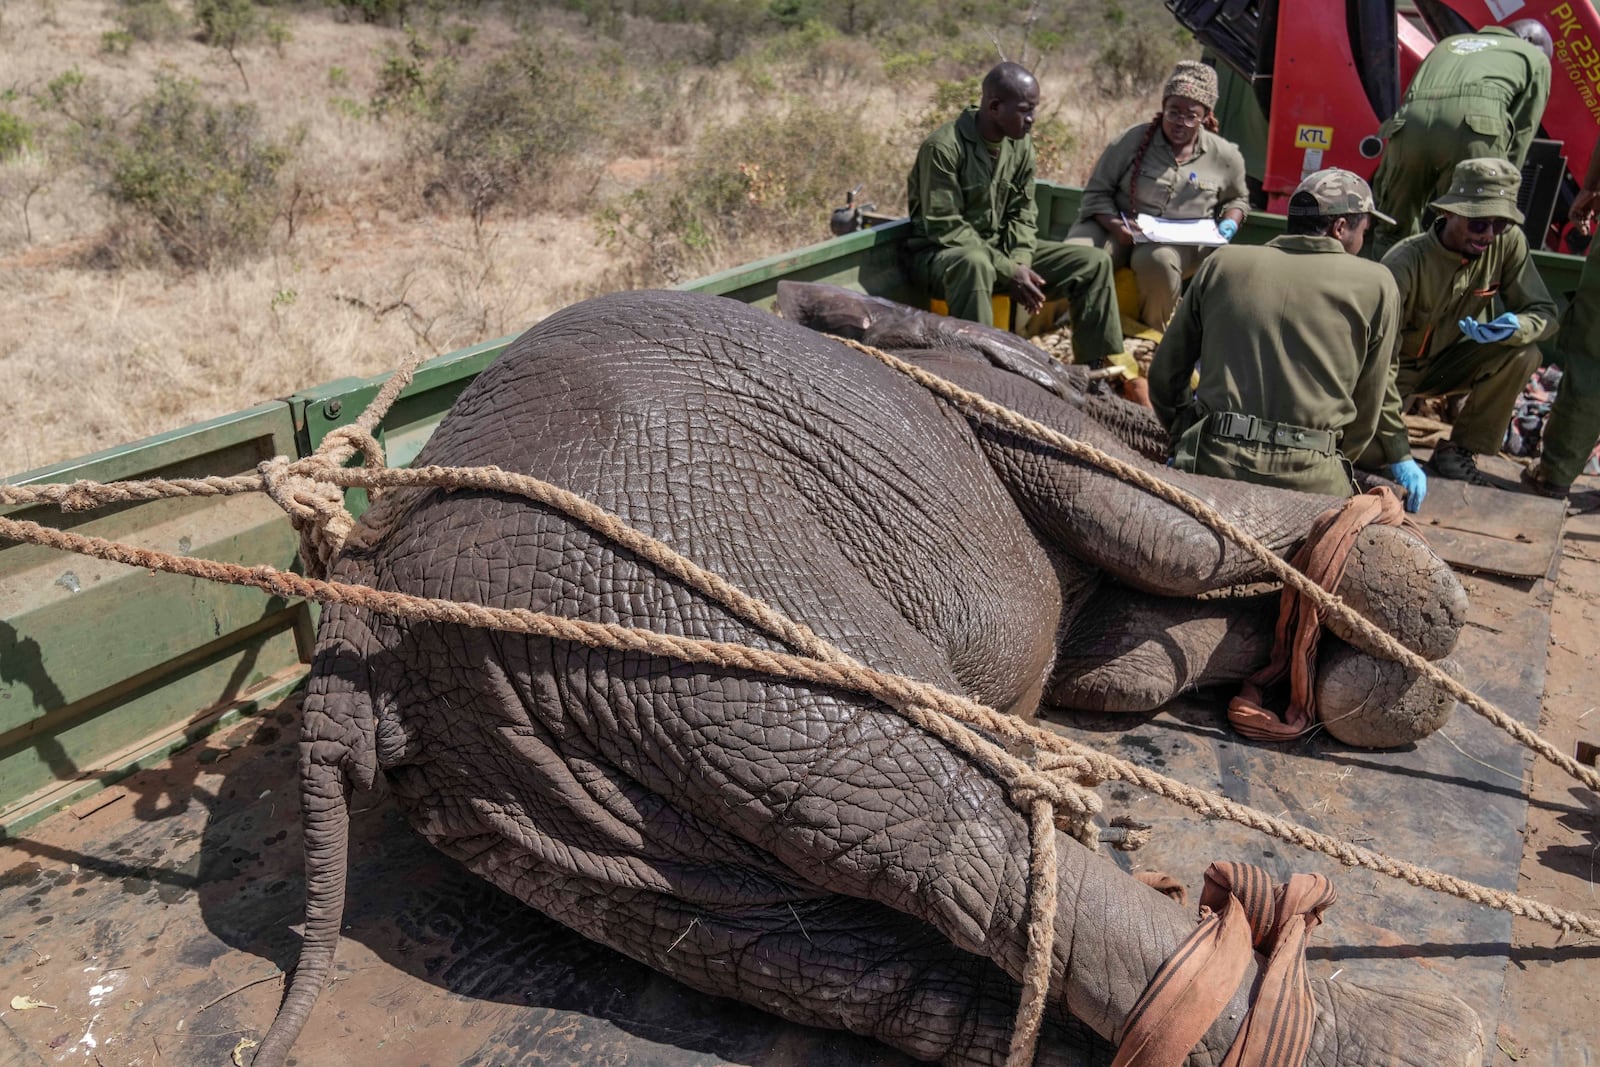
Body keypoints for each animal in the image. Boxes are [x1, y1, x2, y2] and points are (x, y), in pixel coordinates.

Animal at [256, 286, 1478, 1067]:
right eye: (1074, 368)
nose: (1132, 392)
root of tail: (358, 638)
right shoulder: (1008, 416)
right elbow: (1179, 529)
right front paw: (1408, 600)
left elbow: (1122, 661)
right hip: (673, 590)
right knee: (946, 803)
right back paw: (1399, 1040)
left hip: (522, 780)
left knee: (818, 940)